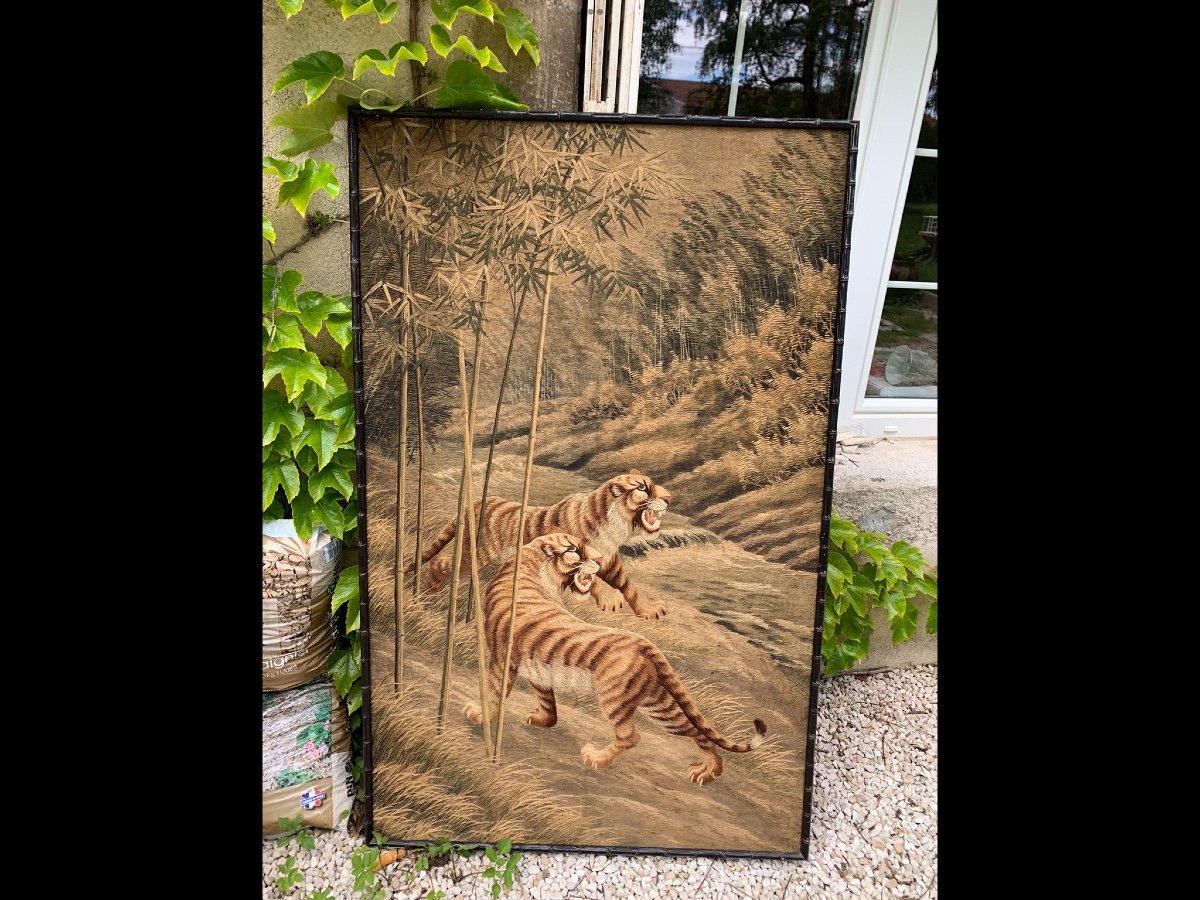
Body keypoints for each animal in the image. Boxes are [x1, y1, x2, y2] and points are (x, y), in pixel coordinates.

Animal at [405, 472, 672, 619]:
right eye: (642, 488)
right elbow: (590, 580)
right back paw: (428, 592)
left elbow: (629, 585)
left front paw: (649, 609)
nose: (669, 498)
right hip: (478, 555)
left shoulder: (609, 559)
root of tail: (478, 501)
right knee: (442, 561)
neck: (616, 525)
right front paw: (609, 599)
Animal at [463, 532, 763, 787]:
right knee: (698, 729)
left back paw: (596, 756)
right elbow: (545, 696)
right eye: (573, 549)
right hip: (660, 704)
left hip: (614, 699)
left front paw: (479, 714)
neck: (530, 570)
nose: (598, 560)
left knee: (631, 736)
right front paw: (542, 718)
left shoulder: (501, 658)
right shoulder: (535, 665)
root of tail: (643, 642)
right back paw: (708, 771)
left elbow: (494, 692)